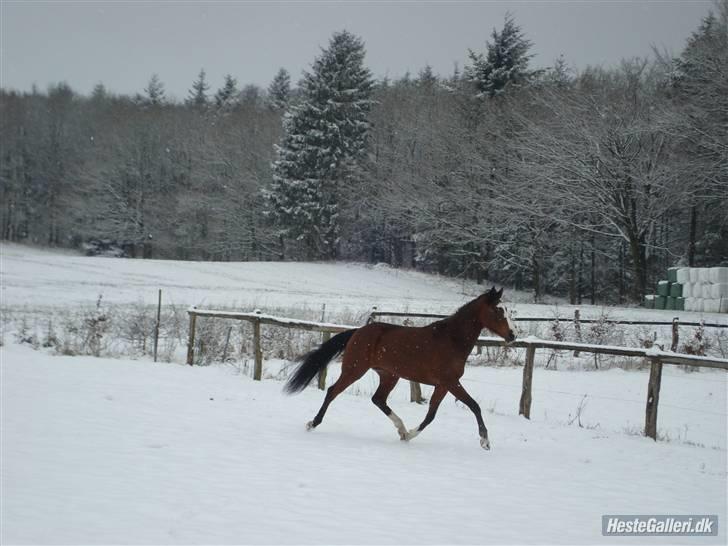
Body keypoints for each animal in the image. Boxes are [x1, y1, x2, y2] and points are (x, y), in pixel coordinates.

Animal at [286, 284, 516, 446]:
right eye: (498, 311)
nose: (513, 335)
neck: (452, 339)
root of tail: (358, 331)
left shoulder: (443, 385)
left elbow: (431, 415)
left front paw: (409, 436)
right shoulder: (450, 382)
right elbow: (474, 406)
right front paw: (485, 441)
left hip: (389, 375)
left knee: (378, 399)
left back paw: (402, 429)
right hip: (355, 369)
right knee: (333, 391)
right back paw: (313, 423)